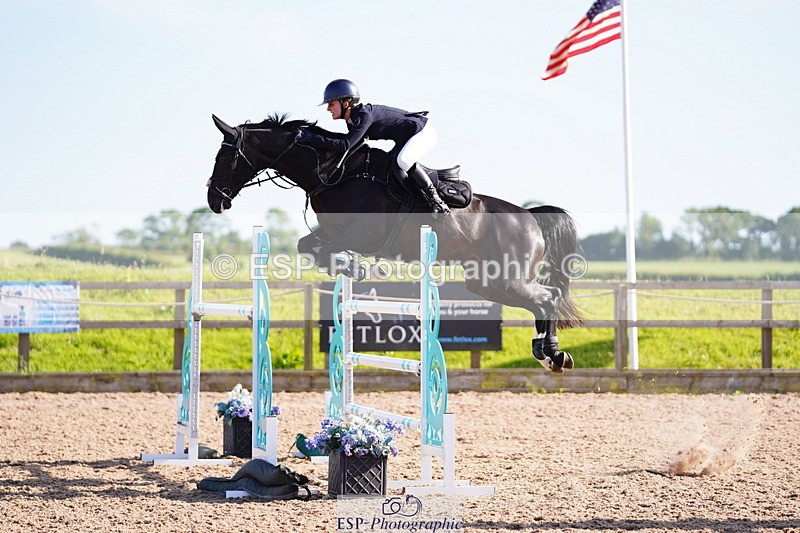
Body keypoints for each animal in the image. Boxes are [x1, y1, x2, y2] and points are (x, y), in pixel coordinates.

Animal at [206, 113, 584, 372]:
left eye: (223, 157)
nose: (214, 201)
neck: (332, 173)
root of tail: (530, 215)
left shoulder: (363, 232)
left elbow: (326, 250)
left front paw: (356, 268)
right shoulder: (331, 231)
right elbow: (308, 246)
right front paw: (350, 267)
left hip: (506, 277)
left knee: (547, 297)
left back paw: (553, 352)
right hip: (485, 282)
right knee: (540, 301)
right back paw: (547, 353)